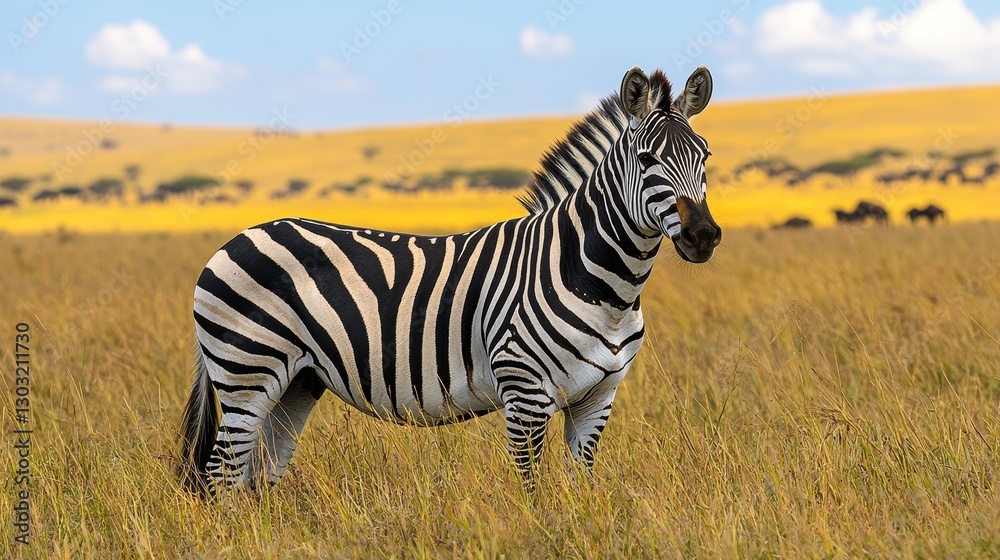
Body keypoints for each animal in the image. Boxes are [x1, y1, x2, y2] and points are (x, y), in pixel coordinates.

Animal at [179, 65, 721, 494]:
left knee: (257, 474)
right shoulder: (524, 392)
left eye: (705, 156)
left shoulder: (598, 398)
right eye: (647, 160)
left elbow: (580, 486)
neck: (605, 288)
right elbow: (533, 490)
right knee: (222, 475)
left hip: (296, 380)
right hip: (246, 370)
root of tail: (237, 237)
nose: (704, 235)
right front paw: (543, 532)